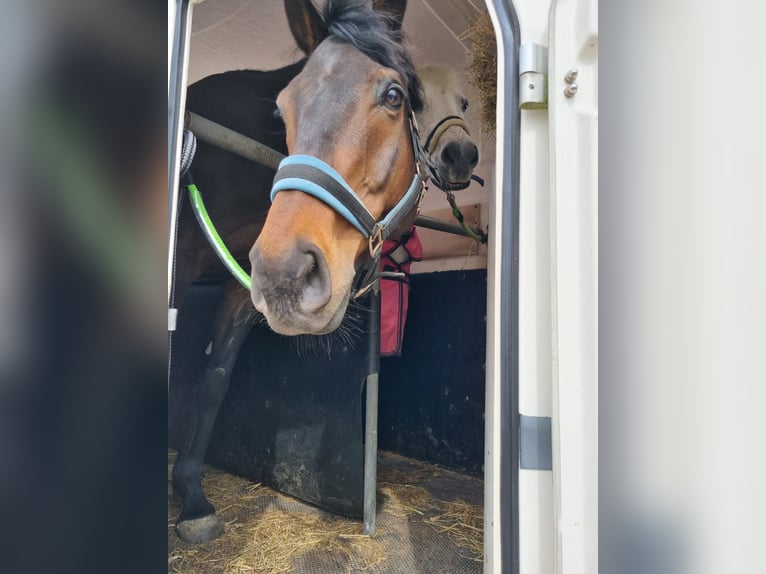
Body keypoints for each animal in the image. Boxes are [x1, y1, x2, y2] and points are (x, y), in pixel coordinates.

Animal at [170, 0, 479, 543]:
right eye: (282, 107)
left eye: (395, 96)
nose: (461, 155)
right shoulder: (180, 260)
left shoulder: (241, 286)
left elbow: (213, 382)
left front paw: (190, 495)